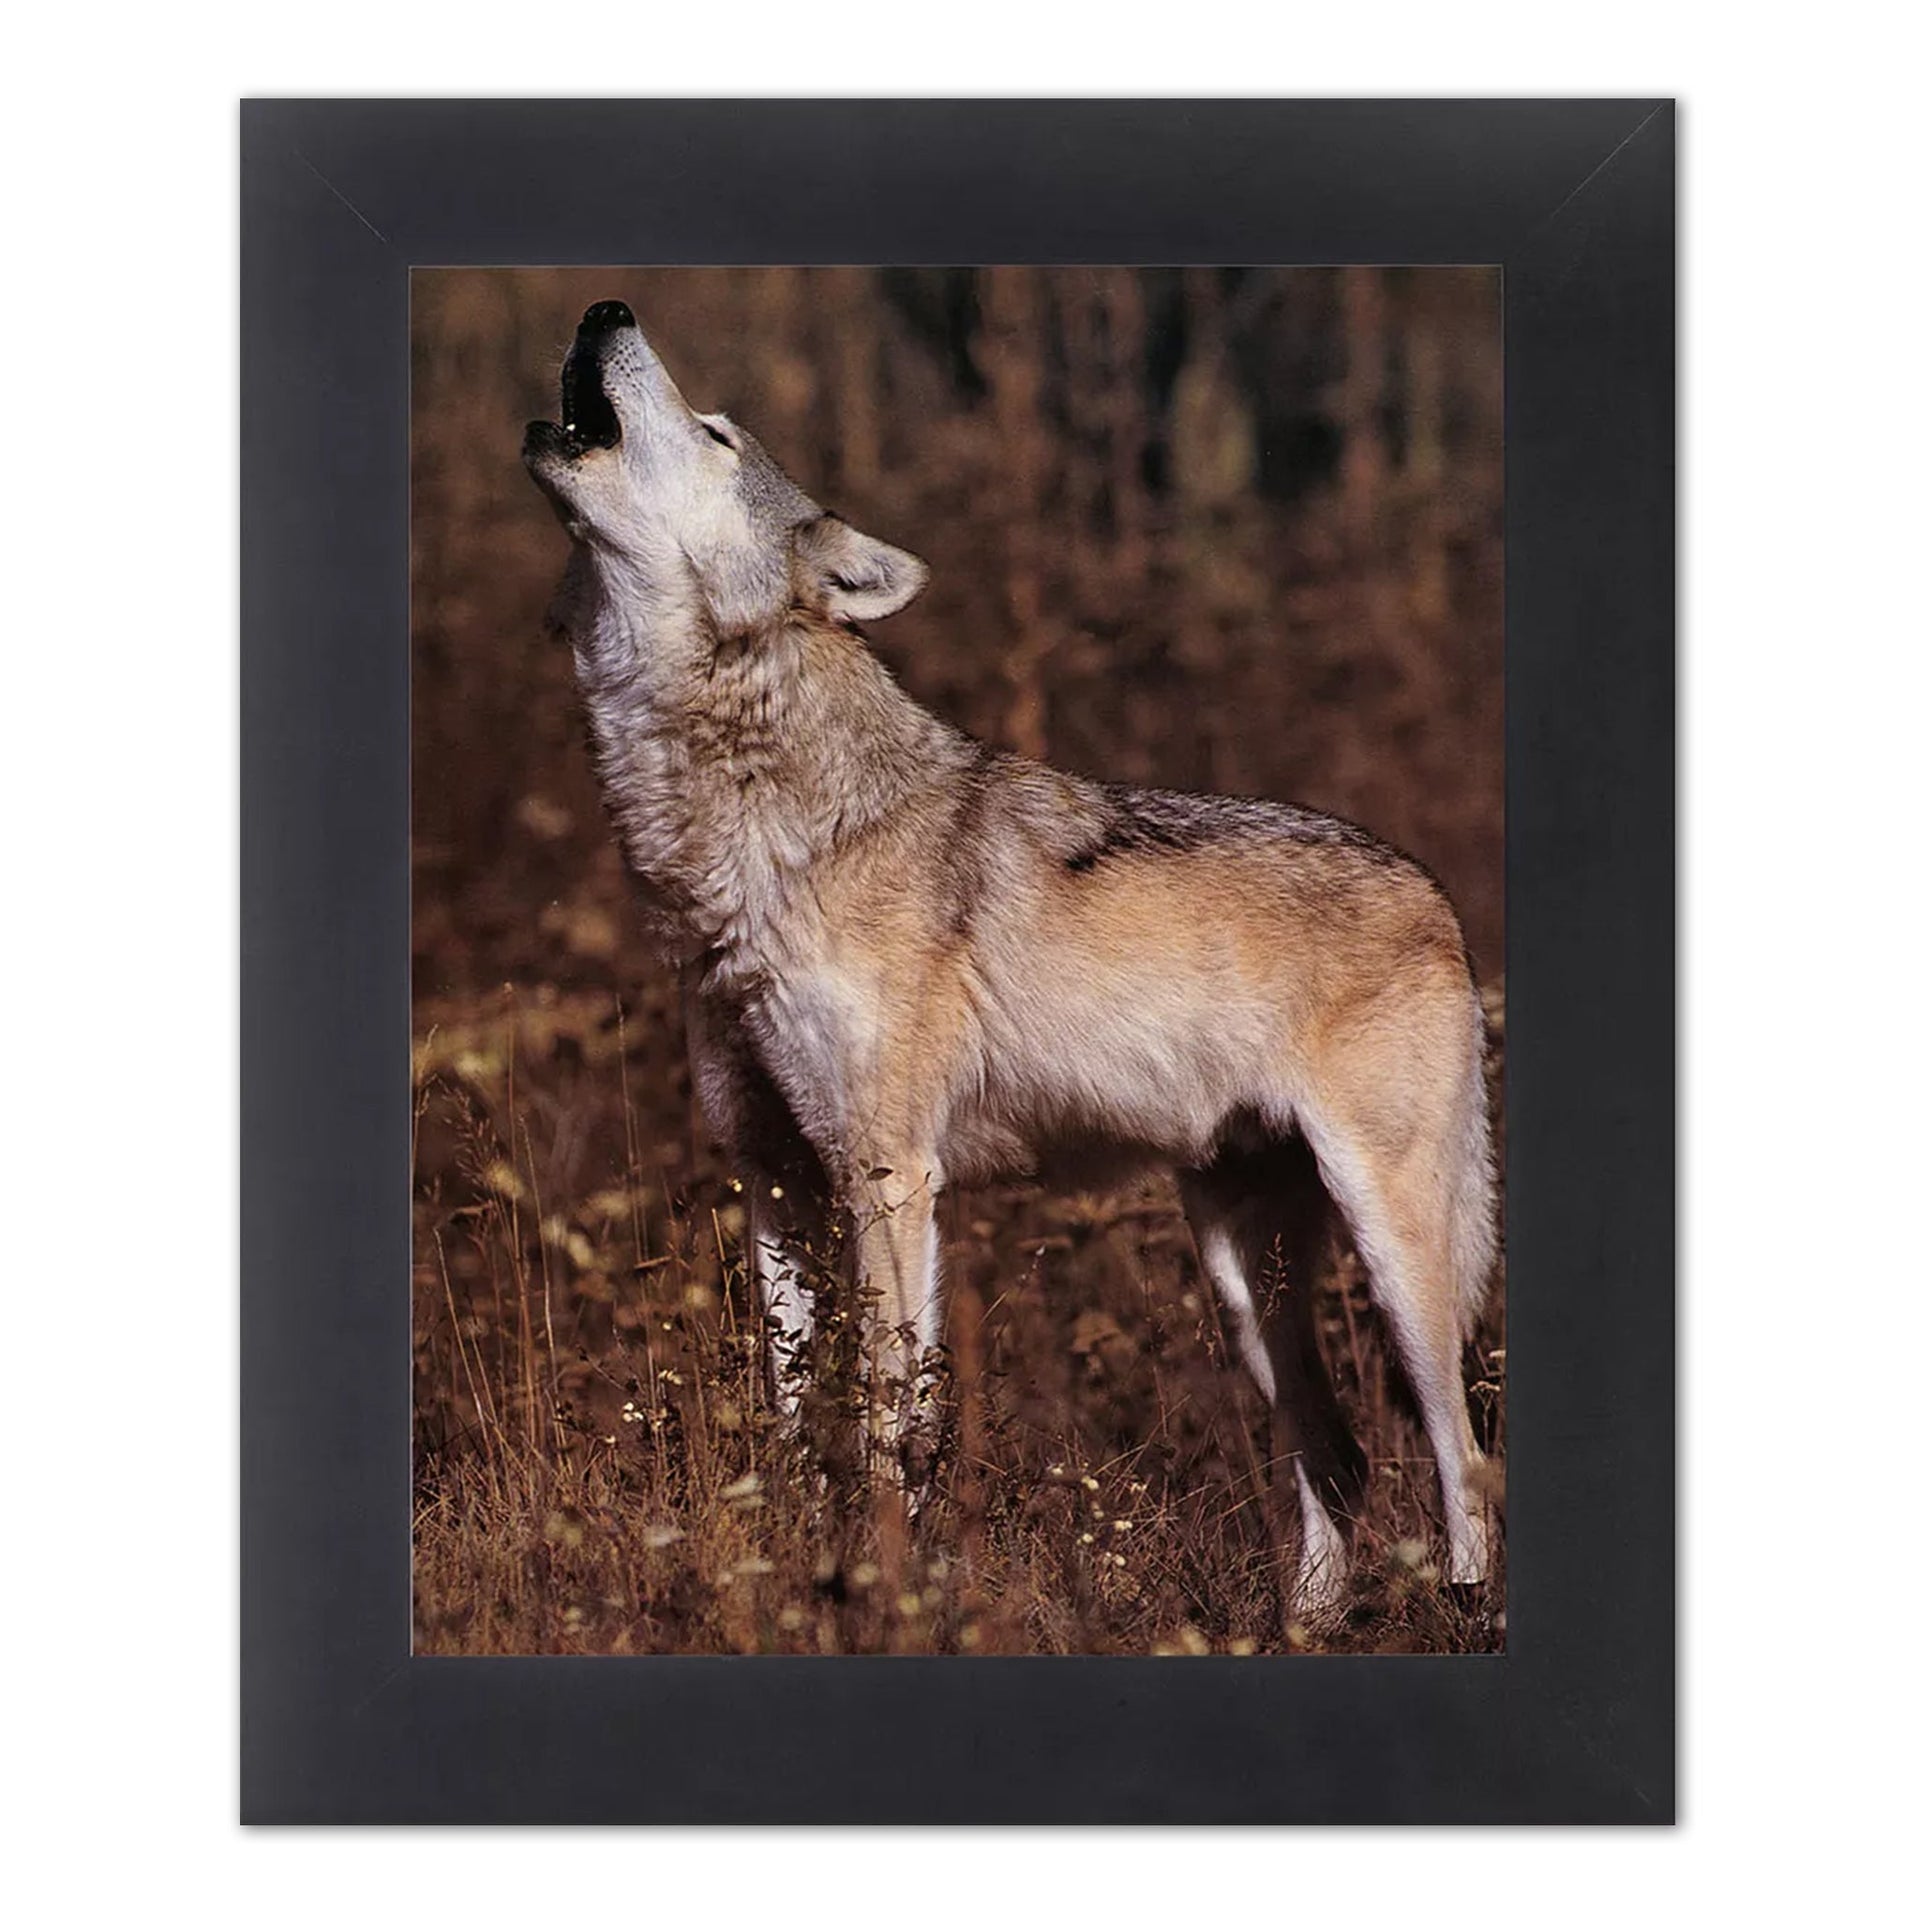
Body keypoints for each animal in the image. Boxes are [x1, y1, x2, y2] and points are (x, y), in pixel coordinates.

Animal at [523, 298, 1499, 1615]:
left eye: (718, 432)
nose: (605, 310)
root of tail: (1436, 895)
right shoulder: (774, 1176)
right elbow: (790, 1419)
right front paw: (794, 1581)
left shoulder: (891, 1177)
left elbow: (891, 1427)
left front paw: (884, 1599)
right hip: (1242, 1272)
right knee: (1337, 1457)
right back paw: (1303, 1630)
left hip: (1392, 1246)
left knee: (1459, 1453)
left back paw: (1464, 1616)